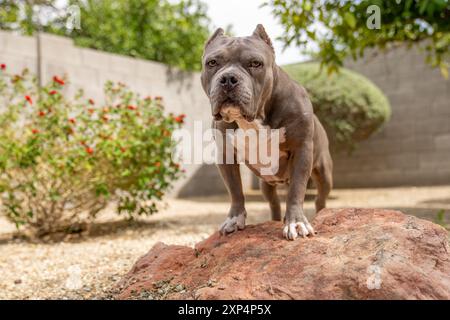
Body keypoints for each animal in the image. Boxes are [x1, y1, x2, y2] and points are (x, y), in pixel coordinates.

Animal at [202, 25, 332, 240]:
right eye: (212, 63)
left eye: (256, 63)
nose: (228, 79)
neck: (255, 118)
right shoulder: (225, 155)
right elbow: (235, 190)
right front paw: (234, 220)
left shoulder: (302, 150)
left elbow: (297, 190)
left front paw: (296, 223)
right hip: (266, 182)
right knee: (274, 203)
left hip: (324, 173)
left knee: (320, 198)